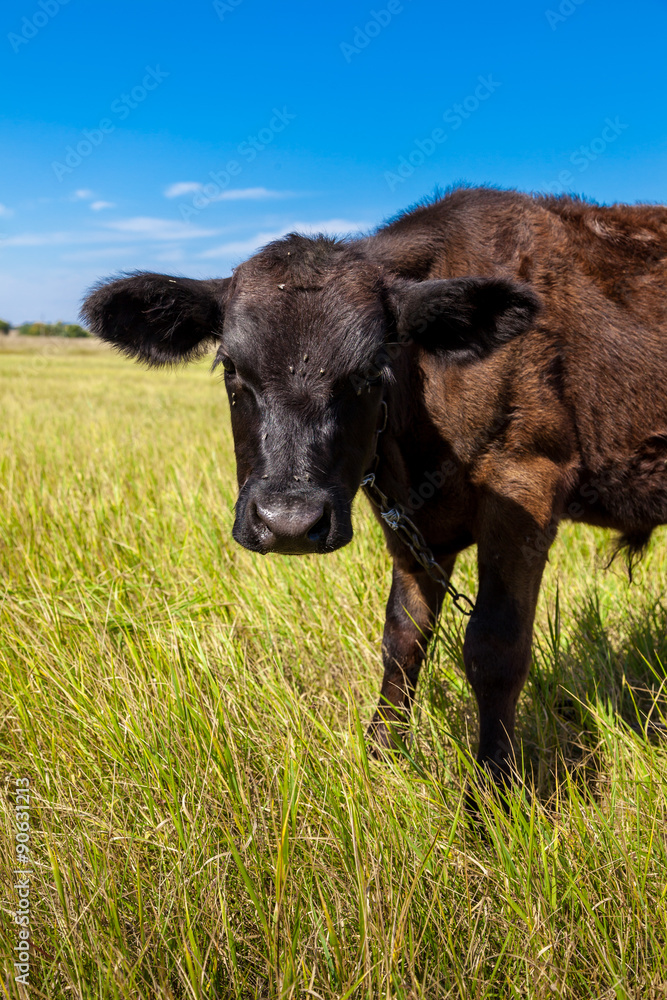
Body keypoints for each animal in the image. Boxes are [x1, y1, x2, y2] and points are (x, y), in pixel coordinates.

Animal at [82, 185, 667, 787]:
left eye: (370, 370)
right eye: (230, 368)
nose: (287, 523)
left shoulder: (526, 484)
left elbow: (495, 649)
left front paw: (491, 792)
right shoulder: (411, 521)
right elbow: (403, 638)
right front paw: (382, 755)